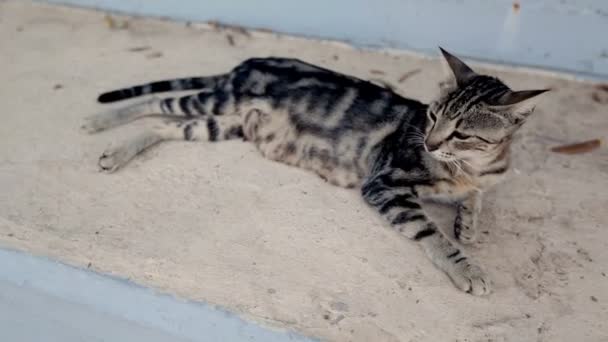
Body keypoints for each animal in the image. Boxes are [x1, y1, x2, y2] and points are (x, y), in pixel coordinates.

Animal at [83, 48, 548, 296]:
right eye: (433, 116)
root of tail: (247, 61)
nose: (430, 143)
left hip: (225, 124)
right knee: (153, 105)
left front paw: (468, 223)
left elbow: (476, 195)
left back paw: (120, 147)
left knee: (164, 126)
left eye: (463, 133)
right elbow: (431, 233)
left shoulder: (475, 179)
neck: (471, 167)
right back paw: (102, 125)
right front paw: (466, 266)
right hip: (218, 102)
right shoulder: (384, 183)